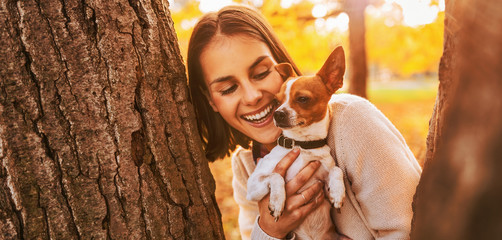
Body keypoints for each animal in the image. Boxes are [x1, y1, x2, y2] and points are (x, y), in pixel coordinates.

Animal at [245, 46, 348, 239]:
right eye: (276, 101)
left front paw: (338, 193)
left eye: (302, 99)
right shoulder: (253, 186)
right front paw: (277, 201)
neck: (302, 144)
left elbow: (336, 169)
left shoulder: (322, 182)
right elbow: (275, 175)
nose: (277, 113)